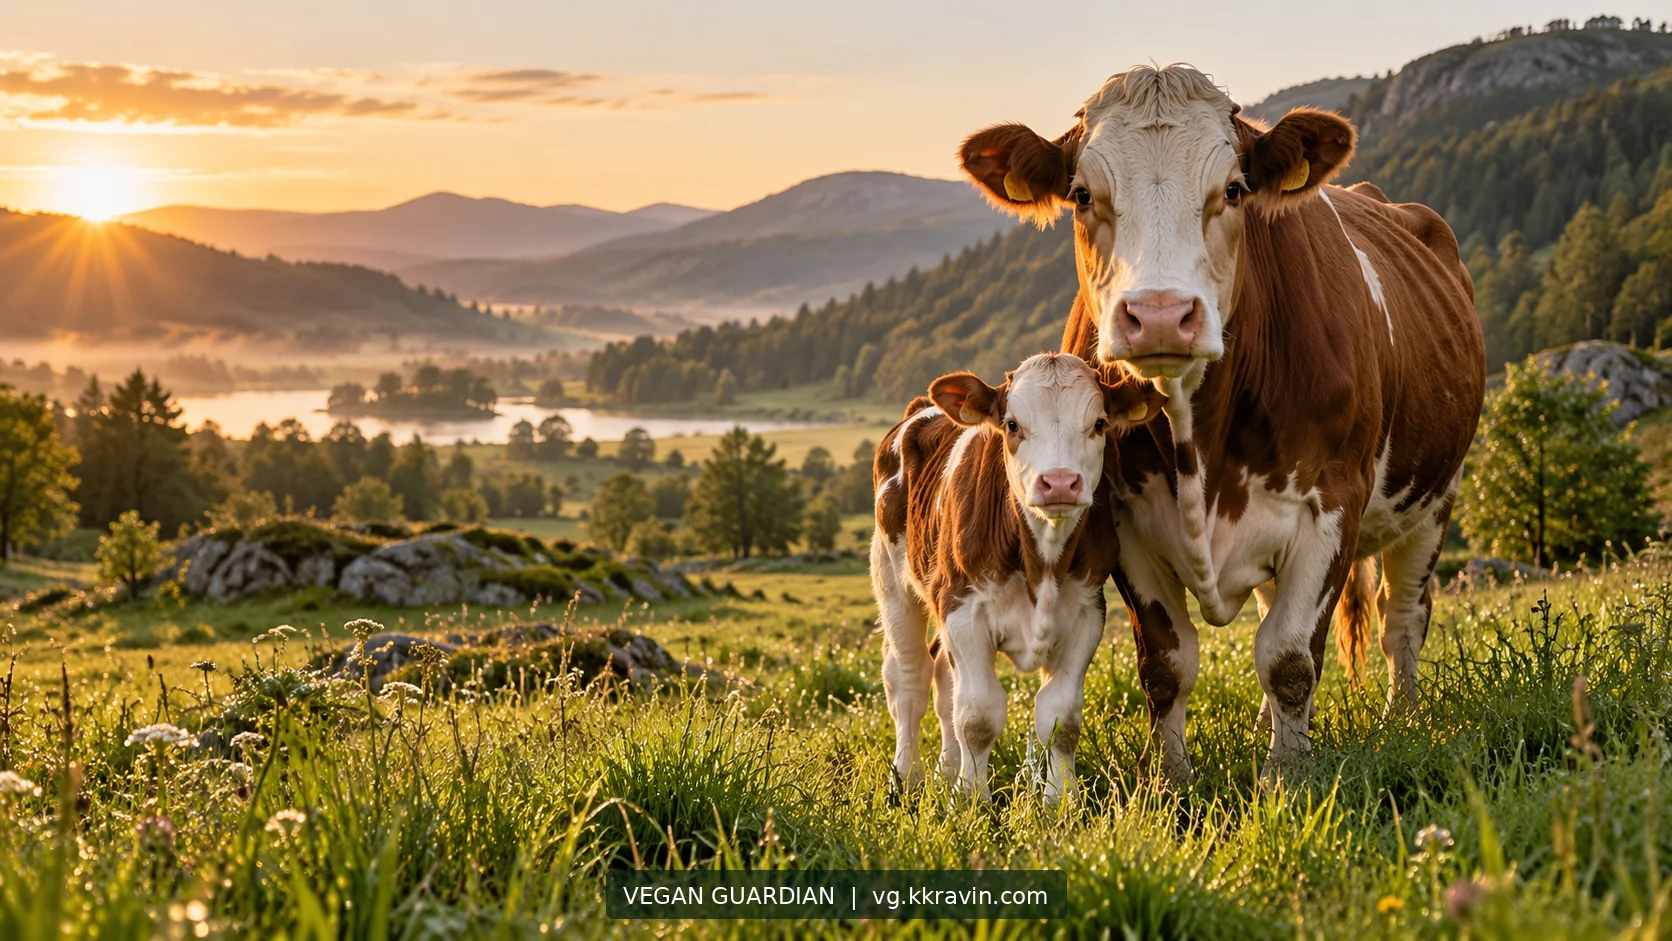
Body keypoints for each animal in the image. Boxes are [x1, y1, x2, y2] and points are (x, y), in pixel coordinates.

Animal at [871, 352, 1164, 801]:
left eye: (1099, 423)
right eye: (1012, 424)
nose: (1059, 482)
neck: (1040, 564)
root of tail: (920, 409)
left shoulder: (1085, 613)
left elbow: (1061, 719)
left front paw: (1061, 801)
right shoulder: (963, 609)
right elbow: (977, 717)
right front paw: (971, 801)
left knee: (943, 679)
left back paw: (946, 772)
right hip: (891, 578)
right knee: (909, 679)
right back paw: (906, 778)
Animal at [955, 64, 1485, 783]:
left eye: (1234, 189)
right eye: (1082, 194)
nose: (1158, 315)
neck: (1198, 441)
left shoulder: (1332, 504)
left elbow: (1289, 657)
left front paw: (1287, 776)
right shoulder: (1123, 518)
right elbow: (1167, 663)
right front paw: (1170, 777)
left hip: (1435, 498)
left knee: (1402, 615)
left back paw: (1402, 718)